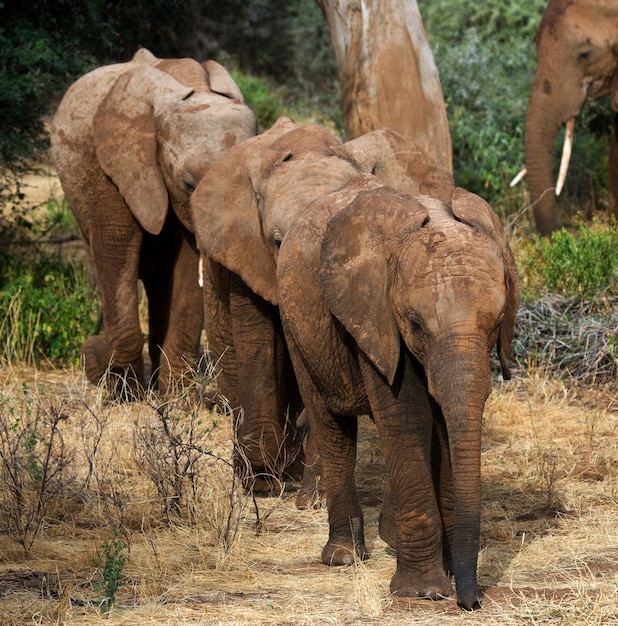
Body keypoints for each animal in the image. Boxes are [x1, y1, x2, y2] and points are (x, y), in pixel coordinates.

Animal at [49, 47, 258, 394]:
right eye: (188, 183)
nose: (87, 346)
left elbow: (188, 266)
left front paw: (178, 399)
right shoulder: (112, 165)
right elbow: (116, 247)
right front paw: (115, 381)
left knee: (160, 282)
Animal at [276, 173, 516, 608]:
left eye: (498, 322)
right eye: (415, 323)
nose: (471, 601)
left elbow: (443, 422)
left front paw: (447, 573)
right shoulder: (375, 316)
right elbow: (408, 419)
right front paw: (423, 592)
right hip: (296, 324)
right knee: (332, 425)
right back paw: (344, 557)